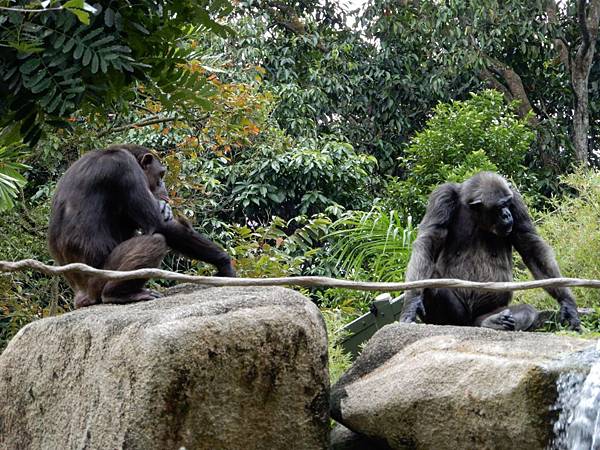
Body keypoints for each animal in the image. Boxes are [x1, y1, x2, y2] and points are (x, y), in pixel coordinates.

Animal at [48, 144, 236, 310]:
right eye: (161, 174)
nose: (163, 186)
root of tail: (80, 296)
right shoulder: (124, 167)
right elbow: (159, 225)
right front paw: (224, 262)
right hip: (98, 279)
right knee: (155, 241)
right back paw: (118, 293)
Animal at [398, 171, 580, 330]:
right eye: (500, 206)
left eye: (508, 204)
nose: (507, 214)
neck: (474, 211)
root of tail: (471, 323)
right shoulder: (442, 197)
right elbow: (429, 241)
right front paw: (412, 302)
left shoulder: (516, 200)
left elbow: (530, 245)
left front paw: (567, 303)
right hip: (460, 317)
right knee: (432, 282)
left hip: (490, 310)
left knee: (525, 311)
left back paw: (493, 321)